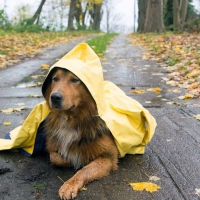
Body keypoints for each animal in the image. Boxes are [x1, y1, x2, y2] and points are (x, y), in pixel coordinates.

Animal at [43, 67, 118, 200]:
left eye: (74, 80)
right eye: (55, 79)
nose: (55, 97)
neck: (70, 119)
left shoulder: (109, 157)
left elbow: (85, 170)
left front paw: (69, 185)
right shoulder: (53, 147)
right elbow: (54, 158)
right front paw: (71, 161)